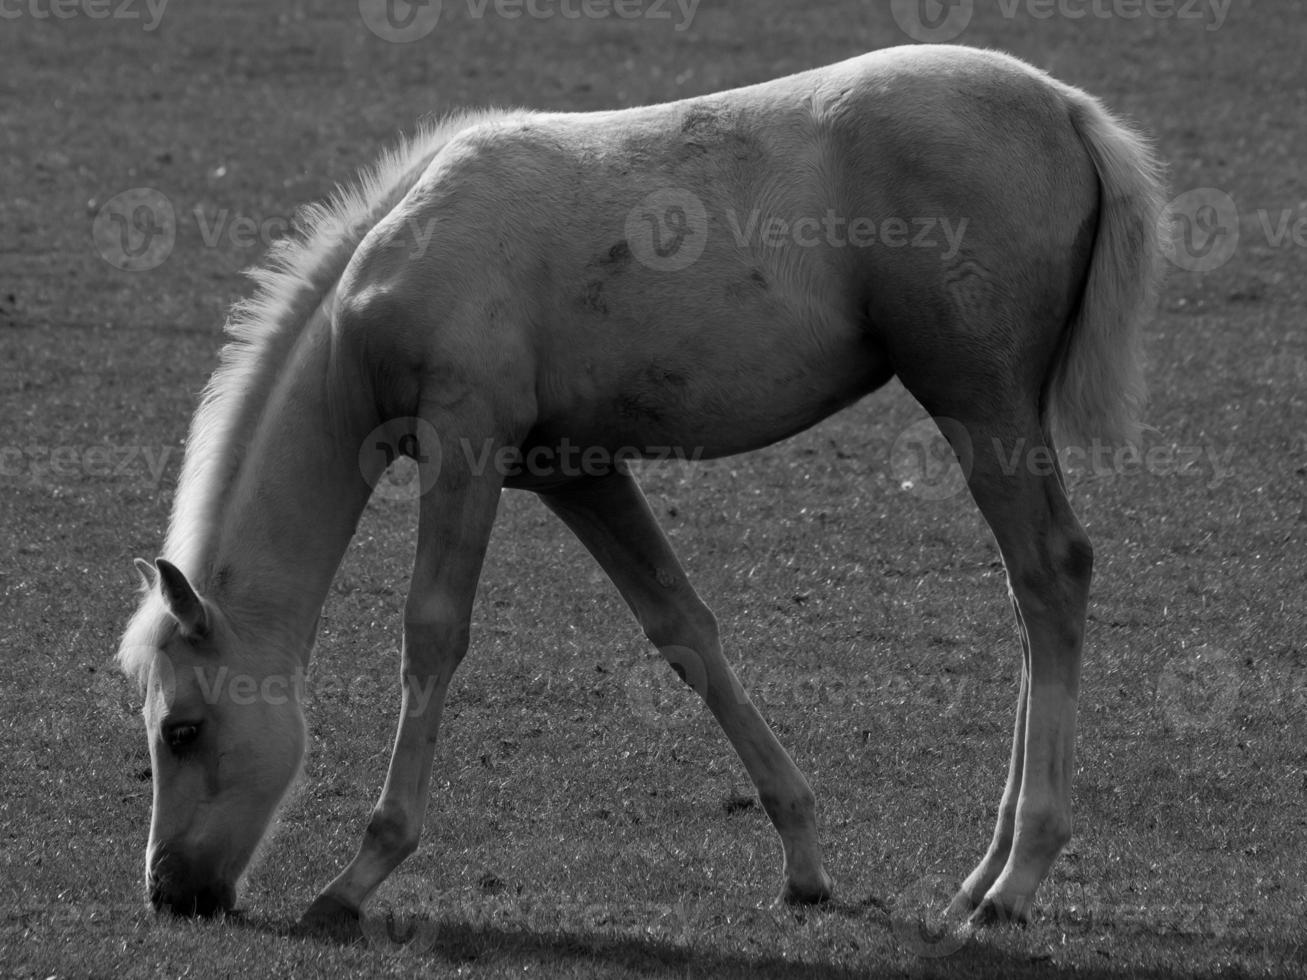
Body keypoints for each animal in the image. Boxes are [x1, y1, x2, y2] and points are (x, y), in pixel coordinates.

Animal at [120, 44, 1165, 935]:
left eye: (182, 730)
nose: (170, 893)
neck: (395, 268)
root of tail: (1064, 107)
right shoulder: (575, 472)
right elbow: (683, 631)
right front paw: (802, 859)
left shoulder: (465, 444)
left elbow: (432, 634)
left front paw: (355, 879)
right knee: (1027, 595)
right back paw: (982, 873)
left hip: (976, 399)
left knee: (1050, 573)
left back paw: (1014, 882)